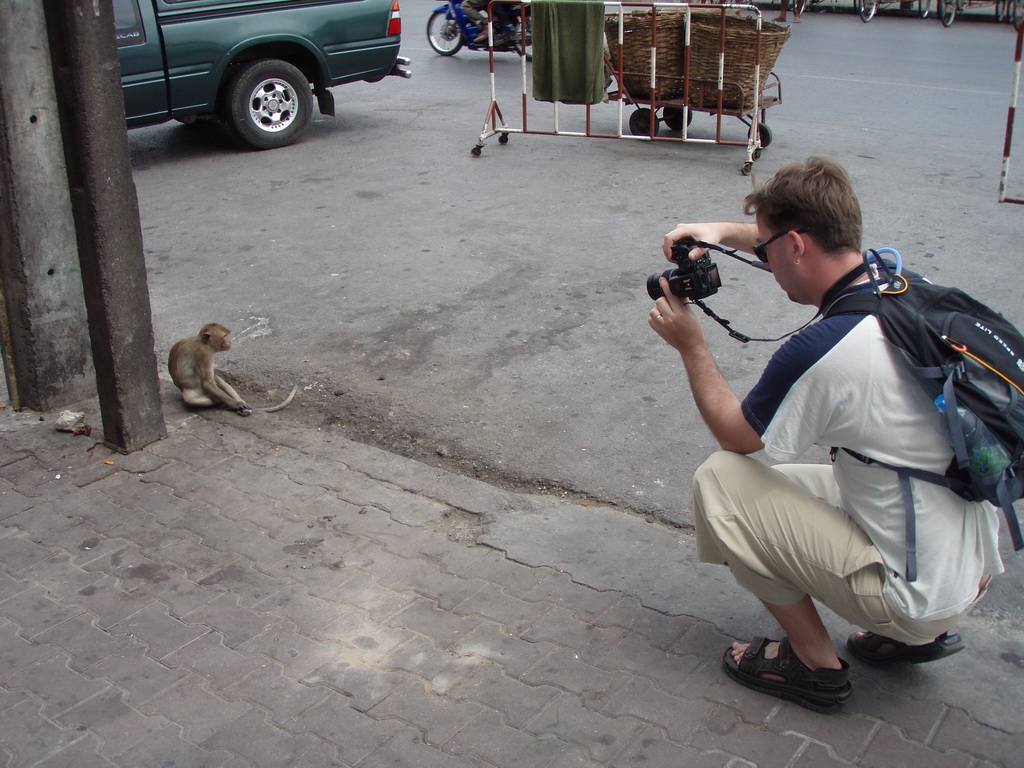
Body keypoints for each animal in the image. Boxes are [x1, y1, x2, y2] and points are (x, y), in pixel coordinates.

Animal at [166, 325, 296, 421]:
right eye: (224, 336)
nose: (230, 341)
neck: (202, 342)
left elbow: (213, 379)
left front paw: (239, 403)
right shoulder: (203, 353)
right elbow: (207, 383)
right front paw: (235, 404)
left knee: (216, 379)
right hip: (192, 394)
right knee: (193, 400)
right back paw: (224, 404)